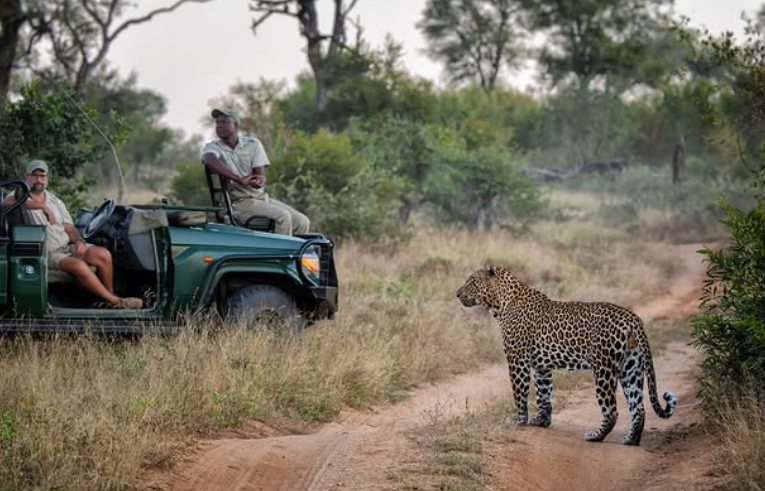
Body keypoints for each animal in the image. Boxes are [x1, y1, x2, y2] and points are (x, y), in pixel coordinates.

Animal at [454, 268, 676, 448]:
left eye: (471, 281)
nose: (457, 294)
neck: (500, 303)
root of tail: (633, 318)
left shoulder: (517, 359)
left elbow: (520, 392)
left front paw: (519, 420)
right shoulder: (541, 365)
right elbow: (544, 393)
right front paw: (541, 421)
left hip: (604, 368)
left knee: (612, 410)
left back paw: (596, 436)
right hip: (631, 367)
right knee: (638, 408)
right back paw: (630, 440)